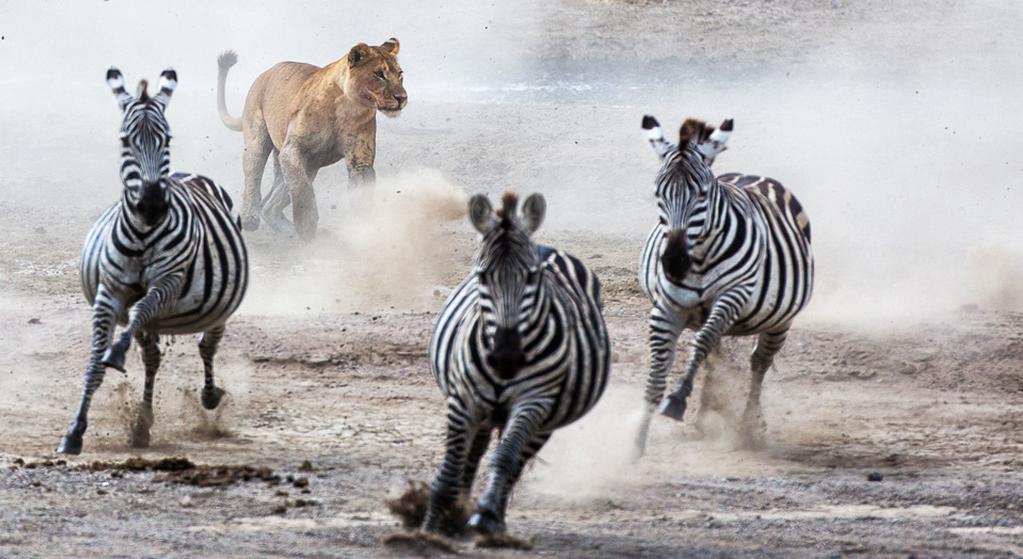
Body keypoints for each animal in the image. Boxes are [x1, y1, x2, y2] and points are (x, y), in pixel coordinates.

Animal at [55, 68, 247, 452]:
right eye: (125, 140)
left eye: (167, 139)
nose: (153, 204)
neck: (143, 232)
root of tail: (188, 173)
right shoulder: (109, 291)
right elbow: (95, 364)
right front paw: (74, 431)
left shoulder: (168, 283)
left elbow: (140, 312)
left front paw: (116, 352)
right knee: (153, 356)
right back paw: (142, 426)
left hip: (221, 301)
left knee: (208, 344)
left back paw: (209, 396)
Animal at [421, 191, 605, 536]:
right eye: (482, 275)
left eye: (532, 276)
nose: (506, 356)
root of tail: (546, 246)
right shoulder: (463, 398)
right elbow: (452, 466)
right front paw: (431, 524)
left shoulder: (534, 401)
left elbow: (505, 459)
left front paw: (485, 515)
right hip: (484, 409)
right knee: (474, 453)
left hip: (544, 418)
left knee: (515, 460)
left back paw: (493, 517)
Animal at [630, 115, 814, 454]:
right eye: (658, 194)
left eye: (702, 194)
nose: (674, 263)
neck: (700, 255)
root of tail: (753, 175)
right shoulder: (666, 306)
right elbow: (658, 369)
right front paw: (634, 443)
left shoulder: (733, 295)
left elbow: (700, 343)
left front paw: (676, 400)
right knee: (713, 356)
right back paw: (705, 416)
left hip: (780, 322)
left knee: (757, 364)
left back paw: (747, 428)